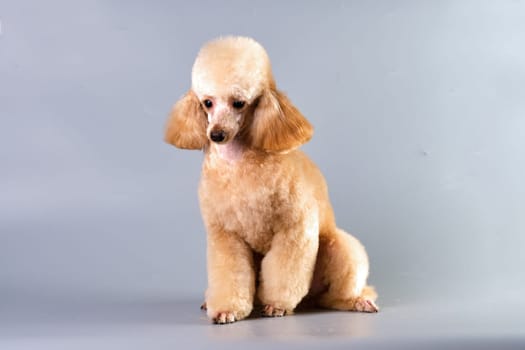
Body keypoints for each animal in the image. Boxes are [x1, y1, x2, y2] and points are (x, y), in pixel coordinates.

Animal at [164, 37, 376, 324]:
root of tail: (310, 299)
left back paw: (357, 301)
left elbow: (285, 270)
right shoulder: (225, 235)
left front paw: (277, 305)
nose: (216, 134)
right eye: (207, 102)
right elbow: (230, 273)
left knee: (337, 293)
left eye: (239, 103)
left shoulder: (294, 229)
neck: (238, 163)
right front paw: (226, 308)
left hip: (340, 250)